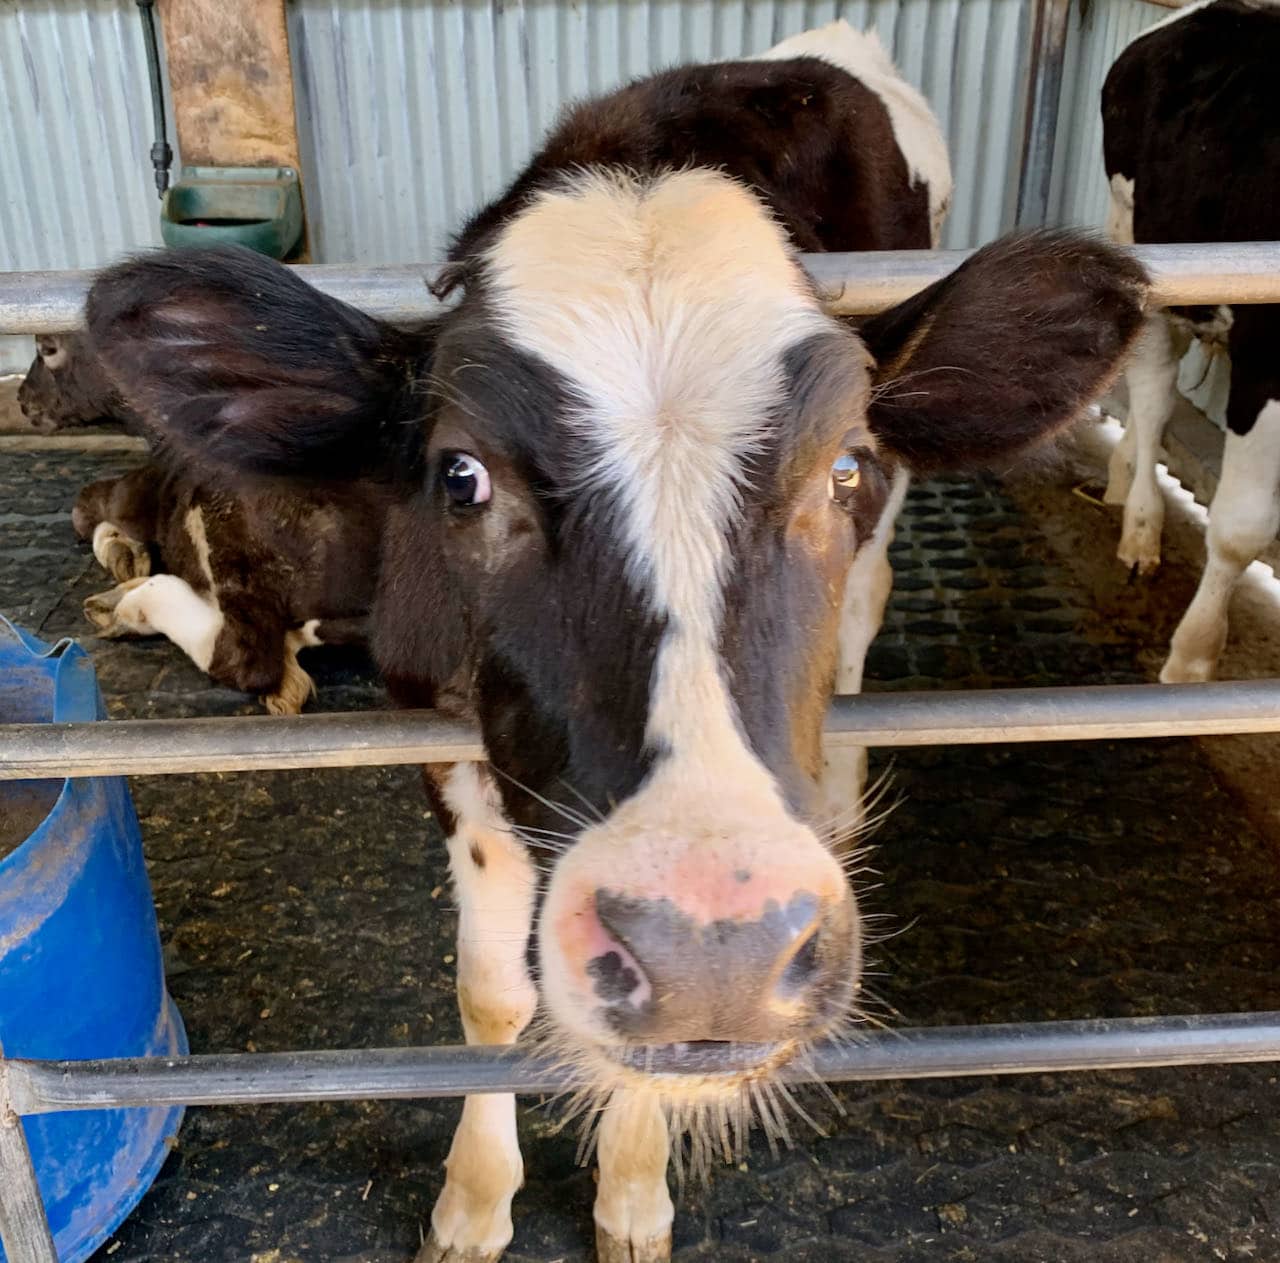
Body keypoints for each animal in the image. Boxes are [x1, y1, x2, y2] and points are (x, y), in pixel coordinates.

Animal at [1100, 0, 1280, 680]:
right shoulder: (1266, 361)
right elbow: (1241, 527)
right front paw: (1192, 661)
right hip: (1142, 249)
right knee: (1152, 395)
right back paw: (1140, 524)